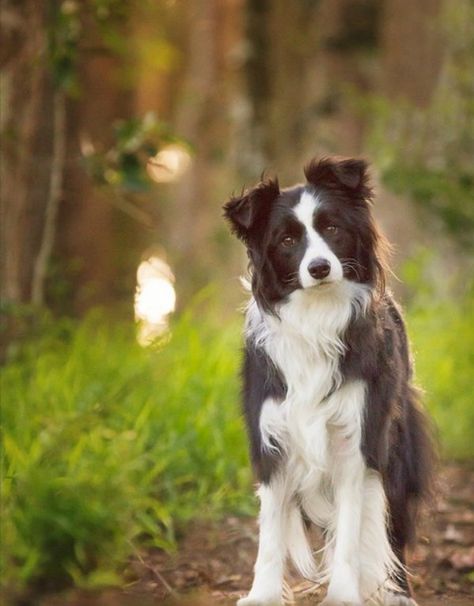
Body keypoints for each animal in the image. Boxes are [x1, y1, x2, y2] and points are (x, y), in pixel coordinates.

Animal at [224, 158, 436, 606]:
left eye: (333, 228)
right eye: (288, 240)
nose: (318, 268)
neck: (316, 316)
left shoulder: (357, 440)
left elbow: (352, 530)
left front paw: (343, 594)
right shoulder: (272, 438)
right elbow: (270, 533)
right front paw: (262, 594)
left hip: (396, 445)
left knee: (392, 525)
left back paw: (398, 591)